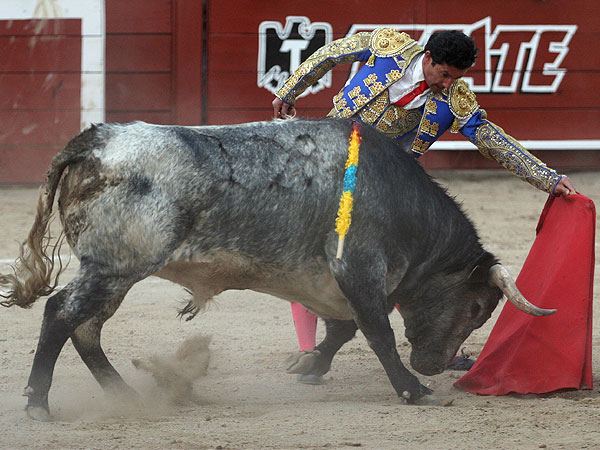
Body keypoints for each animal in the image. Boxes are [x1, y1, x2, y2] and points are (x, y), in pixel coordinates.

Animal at [0, 118, 554, 421]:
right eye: (479, 306)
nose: (438, 365)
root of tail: (96, 140)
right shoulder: (357, 269)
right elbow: (377, 332)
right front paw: (412, 391)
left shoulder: (327, 281)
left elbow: (342, 330)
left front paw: (309, 367)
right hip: (116, 265)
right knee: (60, 314)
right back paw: (39, 404)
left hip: (115, 271)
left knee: (85, 328)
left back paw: (126, 396)